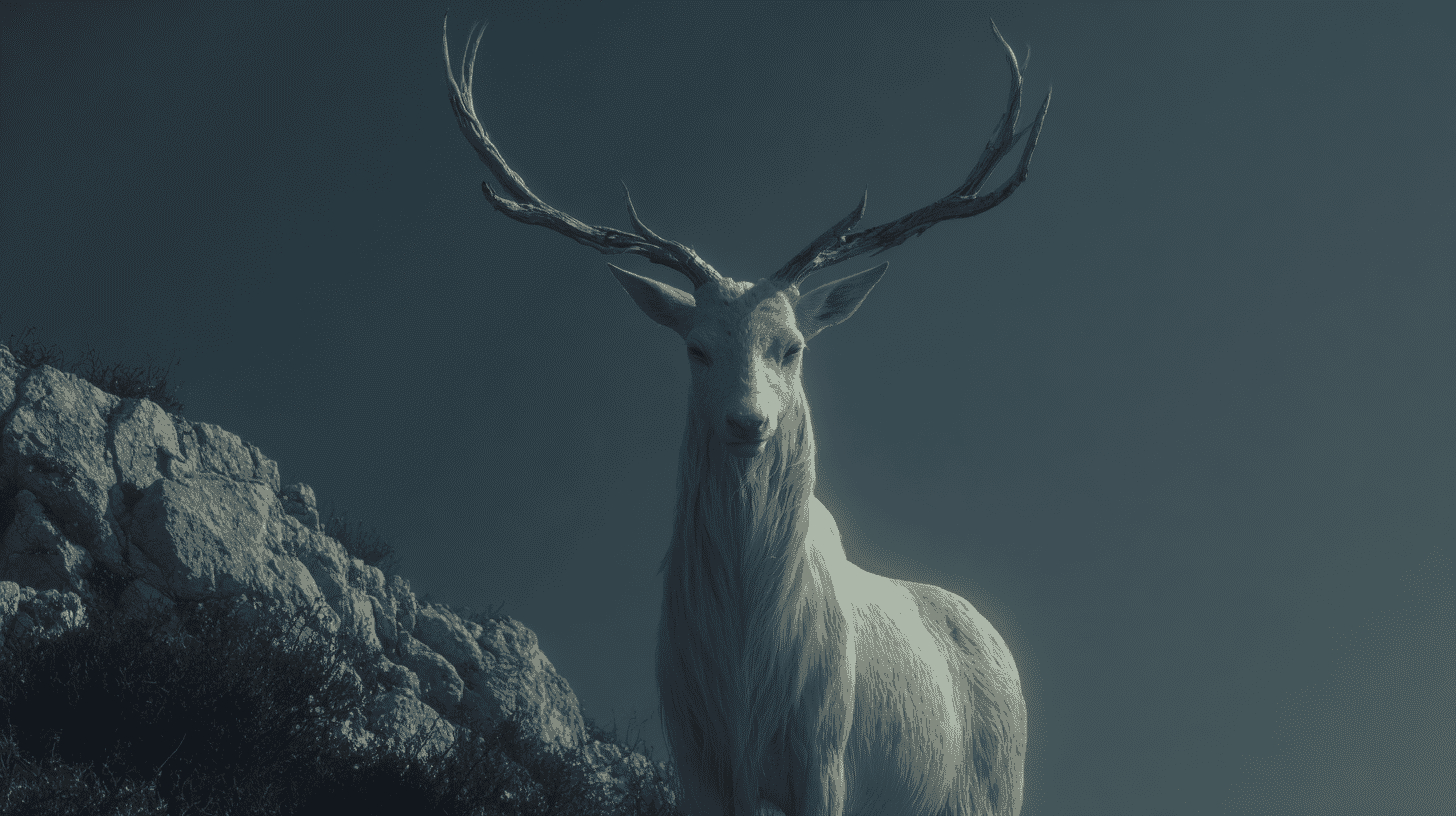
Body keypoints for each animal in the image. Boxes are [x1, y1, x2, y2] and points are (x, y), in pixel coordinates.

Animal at [444, 17, 1048, 816]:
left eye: (791, 347)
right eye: (696, 348)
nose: (748, 422)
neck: (743, 678)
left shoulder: (824, 754)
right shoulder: (695, 755)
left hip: (993, 791)